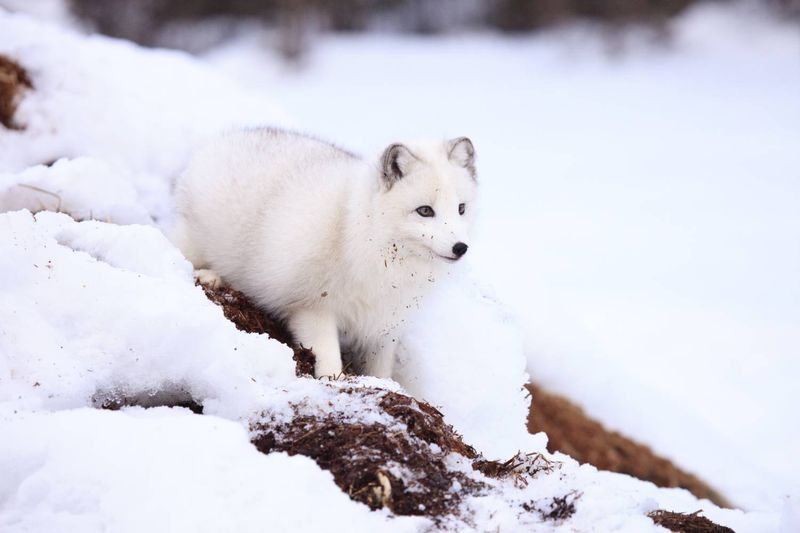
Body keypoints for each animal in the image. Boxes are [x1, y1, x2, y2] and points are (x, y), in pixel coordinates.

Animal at [173, 129, 478, 378]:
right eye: (425, 211)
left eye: (461, 208)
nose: (460, 248)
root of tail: (220, 140)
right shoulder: (312, 306)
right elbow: (327, 353)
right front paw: (335, 378)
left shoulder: (385, 321)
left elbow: (380, 368)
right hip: (194, 241)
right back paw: (209, 276)